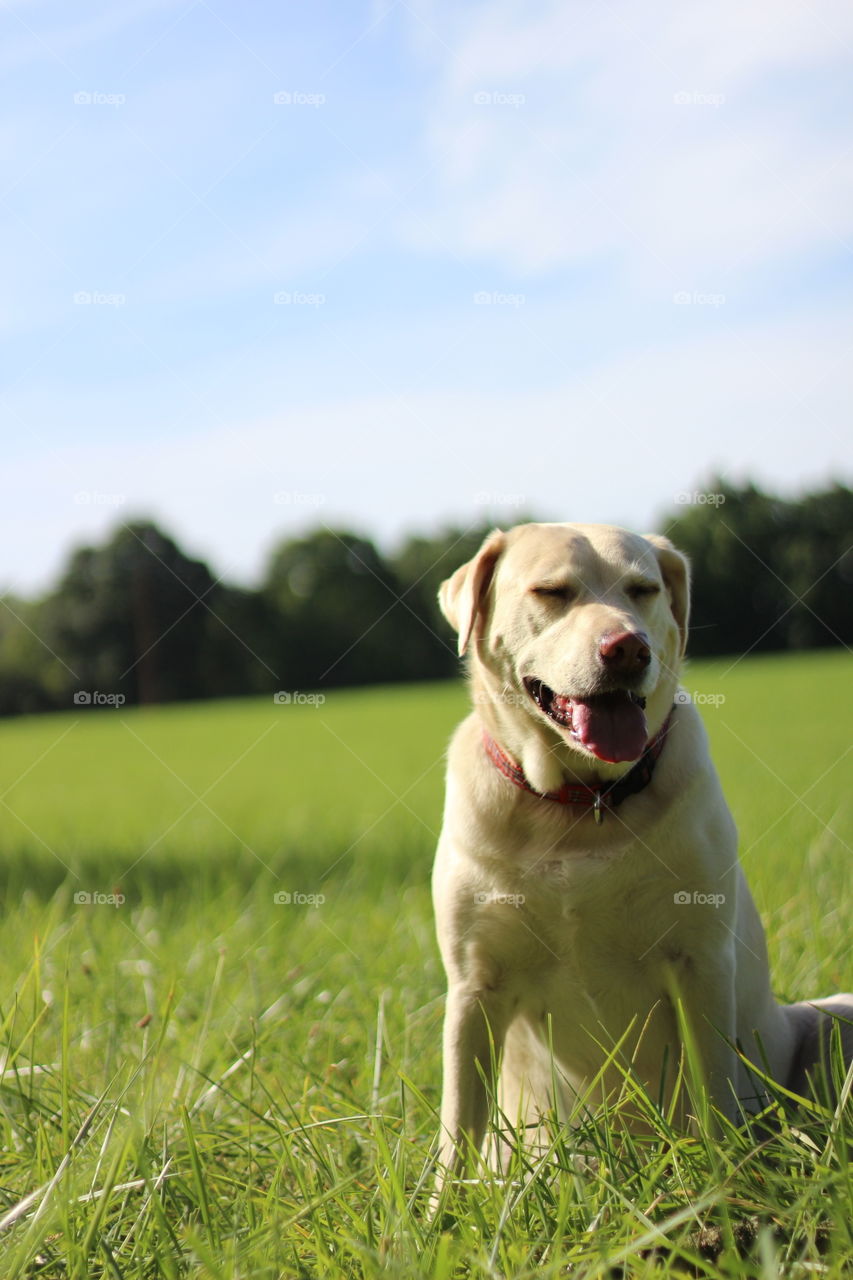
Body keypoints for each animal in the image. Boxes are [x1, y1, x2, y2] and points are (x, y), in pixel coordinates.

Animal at [435, 522, 845, 1177]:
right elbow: (458, 1130)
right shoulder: (475, 984)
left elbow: (713, 1093)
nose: (628, 648)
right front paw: (444, 1205)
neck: (582, 804)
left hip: (832, 1014)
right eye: (552, 591)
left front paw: (722, 1183)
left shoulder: (700, 963)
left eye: (643, 589)